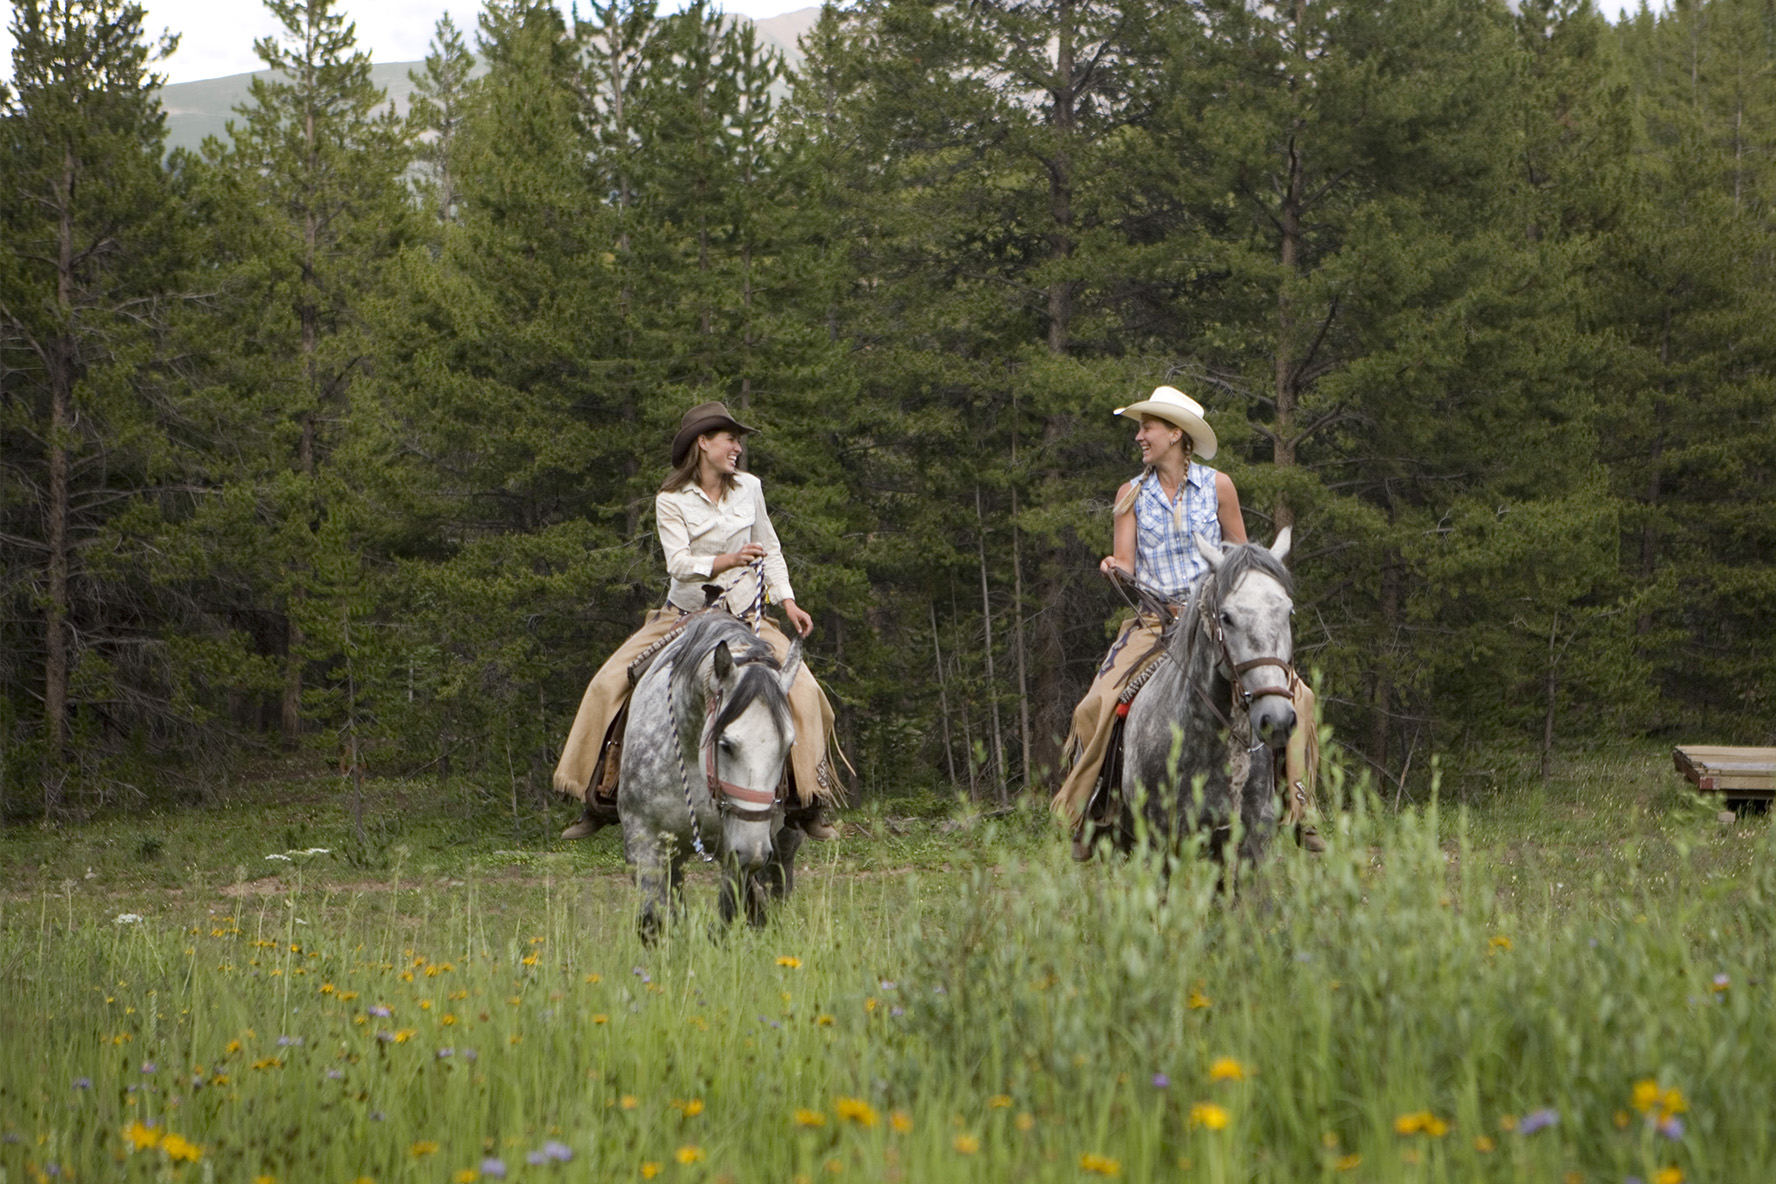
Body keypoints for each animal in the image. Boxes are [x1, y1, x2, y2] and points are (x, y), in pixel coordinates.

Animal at [614, 610, 802, 937]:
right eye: (725, 744)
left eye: (788, 745)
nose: (754, 851)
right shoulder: (644, 841)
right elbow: (654, 920)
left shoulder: (736, 850)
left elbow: (729, 915)